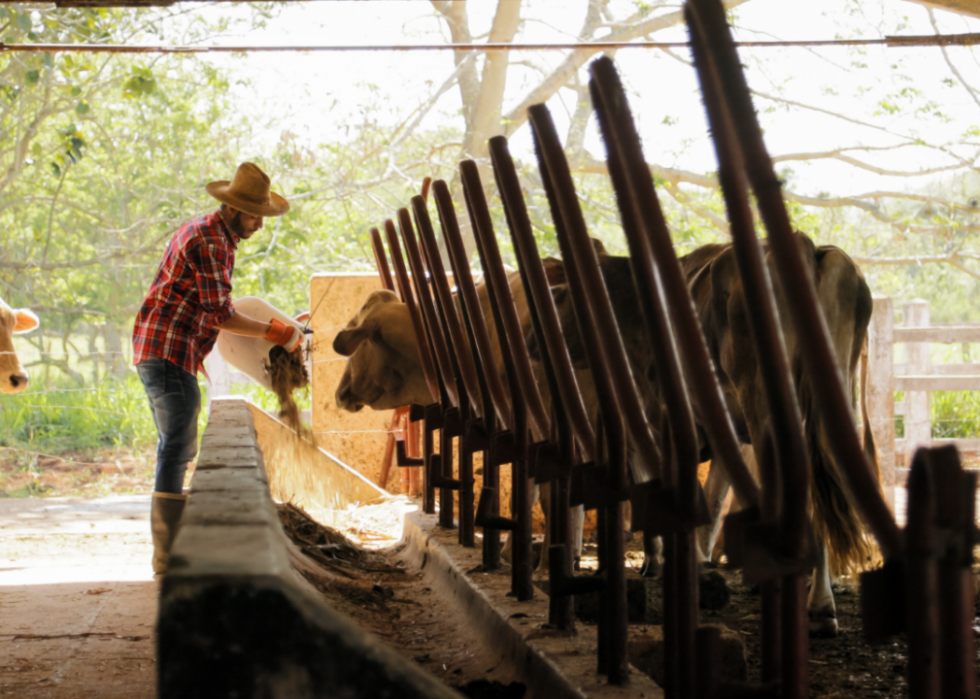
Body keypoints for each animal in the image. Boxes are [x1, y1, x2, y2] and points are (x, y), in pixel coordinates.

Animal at [550, 233, 877, 637]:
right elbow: (716, 497)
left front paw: (663, 562)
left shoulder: (662, 419)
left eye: (567, 293)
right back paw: (819, 603)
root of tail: (807, 246)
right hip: (836, 401)